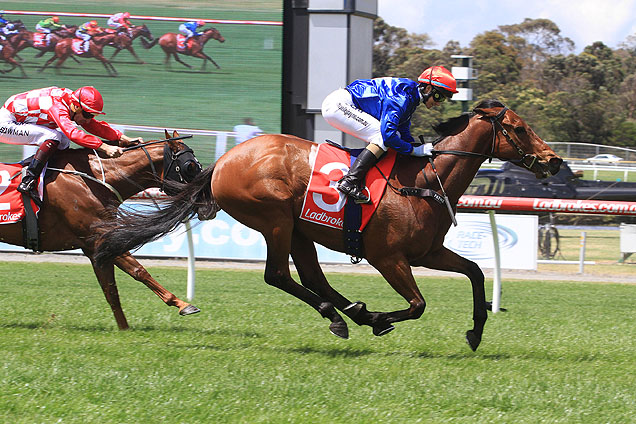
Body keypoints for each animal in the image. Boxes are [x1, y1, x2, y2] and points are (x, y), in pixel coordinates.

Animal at [0, 131, 201, 330]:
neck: (94, 178)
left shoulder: (96, 247)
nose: (205, 192)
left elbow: (111, 291)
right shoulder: (102, 239)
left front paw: (124, 329)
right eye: (190, 166)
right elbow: (138, 271)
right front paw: (183, 305)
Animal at [94, 102, 560, 352]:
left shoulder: (427, 252)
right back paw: (348, 316)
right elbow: (417, 305)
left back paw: (350, 312)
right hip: (277, 221)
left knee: (313, 277)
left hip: (300, 230)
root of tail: (222, 162)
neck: (425, 180)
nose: (554, 160)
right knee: (279, 275)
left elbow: (477, 272)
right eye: (519, 129)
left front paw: (476, 332)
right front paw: (381, 317)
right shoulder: (388, 257)